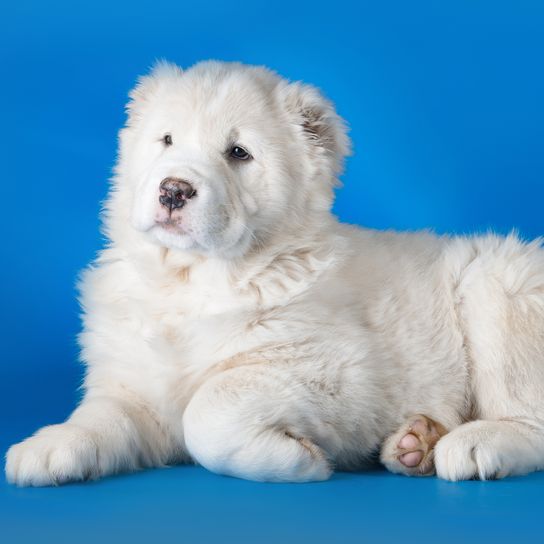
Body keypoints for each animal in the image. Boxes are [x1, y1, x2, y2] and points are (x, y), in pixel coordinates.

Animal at [4, 59, 544, 484]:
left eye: (238, 153)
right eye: (167, 140)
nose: (174, 189)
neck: (190, 281)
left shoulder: (336, 375)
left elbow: (210, 408)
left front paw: (300, 461)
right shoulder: (133, 384)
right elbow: (104, 415)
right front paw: (49, 446)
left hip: (500, 287)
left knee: (530, 416)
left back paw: (473, 443)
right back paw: (416, 442)